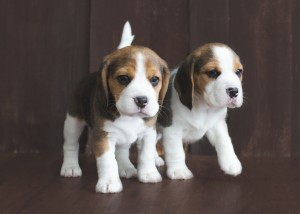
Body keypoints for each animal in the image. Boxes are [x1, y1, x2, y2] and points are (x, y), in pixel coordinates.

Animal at [60, 22, 171, 193]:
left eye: (154, 80)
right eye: (123, 78)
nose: (142, 100)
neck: (128, 116)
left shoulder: (148, 133)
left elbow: (146, 155)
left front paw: (149, 174)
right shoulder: (103, 136)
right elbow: (107, 161)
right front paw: (109, 182)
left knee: (122, 151)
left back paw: (127, 167)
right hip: (73, 121)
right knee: (70, 144)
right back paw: (70, 167)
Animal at [158, 42, 243, 180]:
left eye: (238, 72)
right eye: (212, 72)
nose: (234, 91)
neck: (203, 106)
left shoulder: (218, 124)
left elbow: (225, 141)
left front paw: (231, 163)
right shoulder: (172, 130)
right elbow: (176, 151)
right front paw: (179, 170)